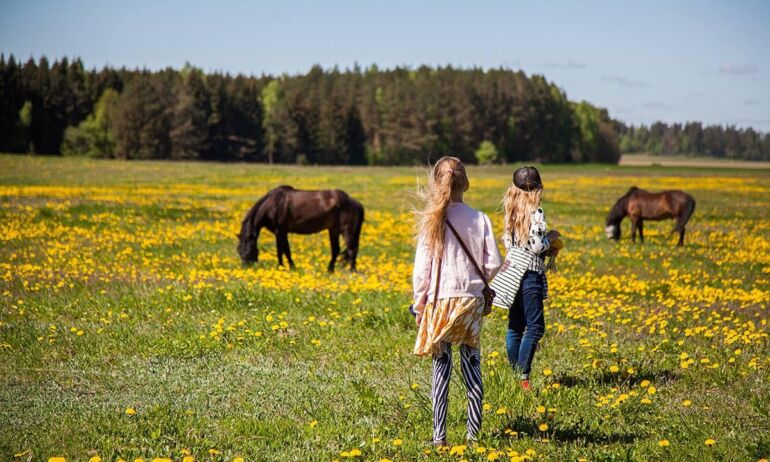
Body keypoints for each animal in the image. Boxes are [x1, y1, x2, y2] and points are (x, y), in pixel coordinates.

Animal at [236, 184, 364, 270]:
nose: (246, 267)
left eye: (249, 248)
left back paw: (352, 270)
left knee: (352, 249)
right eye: (238, 250)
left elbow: (281, 250)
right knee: (336, 250)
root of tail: (354, 202)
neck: (273, 204)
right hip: (334, 230)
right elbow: (286, 250)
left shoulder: (280, 231)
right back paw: (330, 270)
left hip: (347, 231)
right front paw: (290, 267)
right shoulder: (283, 232)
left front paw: (281, 267)